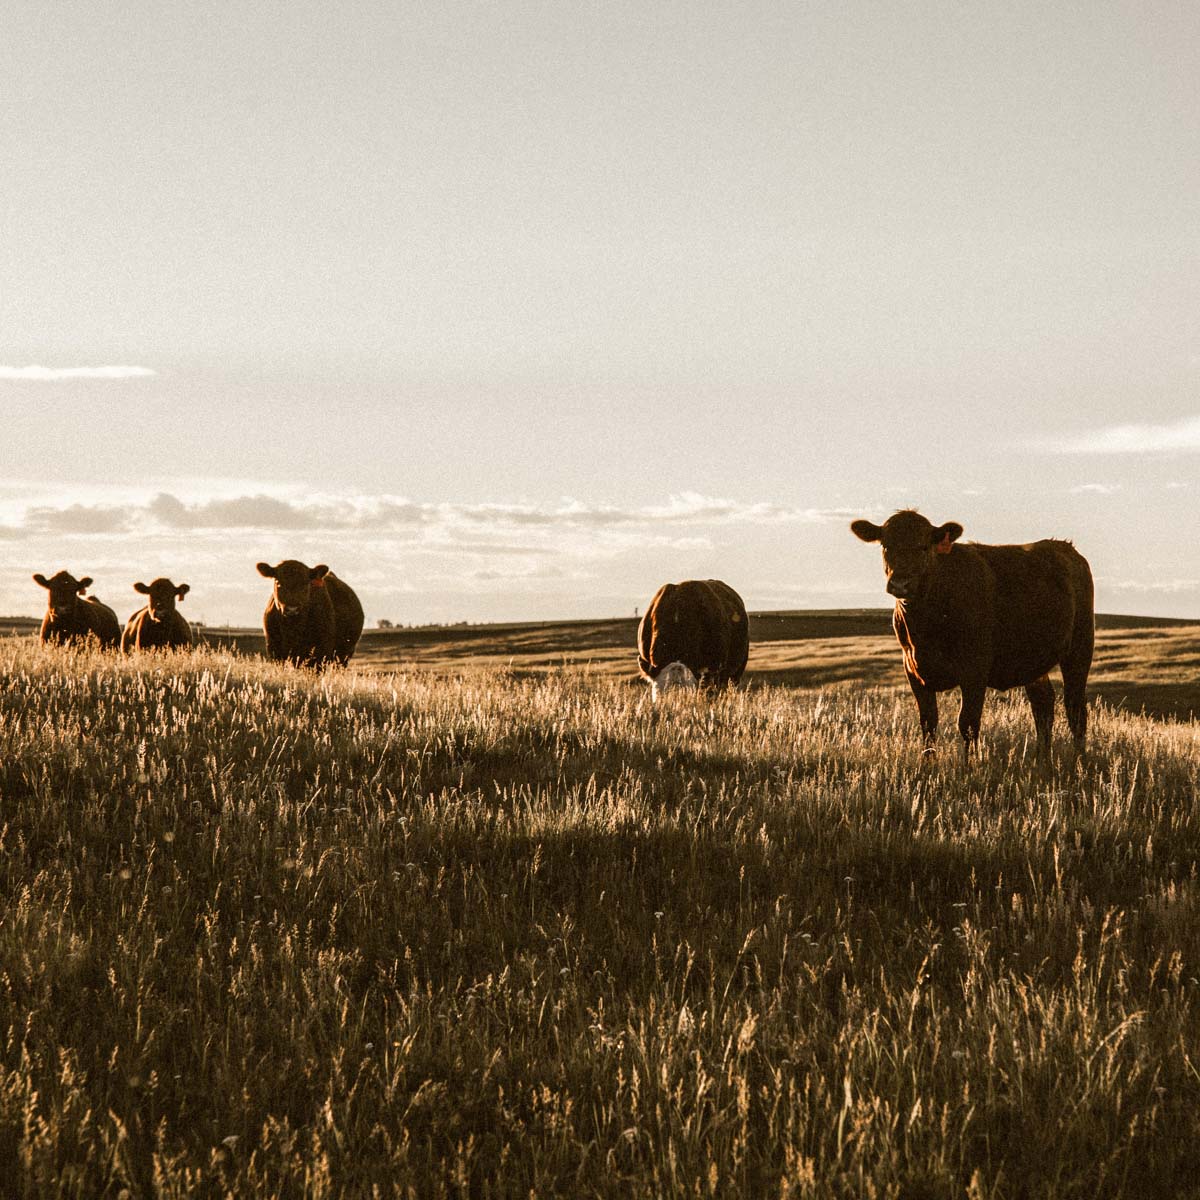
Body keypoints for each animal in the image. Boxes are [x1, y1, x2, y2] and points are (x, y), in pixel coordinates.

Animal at [849, 511, 1094, 763]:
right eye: (886, 546)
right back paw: (1042, 759)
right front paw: (928, 765)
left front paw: (969, 766)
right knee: (1043, 704)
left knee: (1075, 707)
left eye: (924, 546)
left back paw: (1079, 759)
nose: (900, 583)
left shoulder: (974, 670)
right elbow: (928, 724)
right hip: (1033, 661)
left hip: (1080, 647)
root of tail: (1065, 547)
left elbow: (967, 723)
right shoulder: (914, 671)